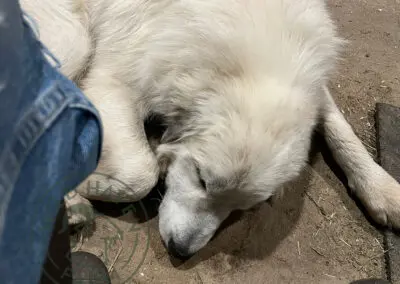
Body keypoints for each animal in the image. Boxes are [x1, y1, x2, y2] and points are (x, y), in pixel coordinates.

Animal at [21, 0, 400, 258]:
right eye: (202, 180)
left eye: (246, 206)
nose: (180, 250)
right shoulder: (113, 81)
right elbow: (139, 173)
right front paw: (82, 185)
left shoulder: (310, 80)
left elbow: (340, 128)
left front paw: (382, 188)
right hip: (74, 38)